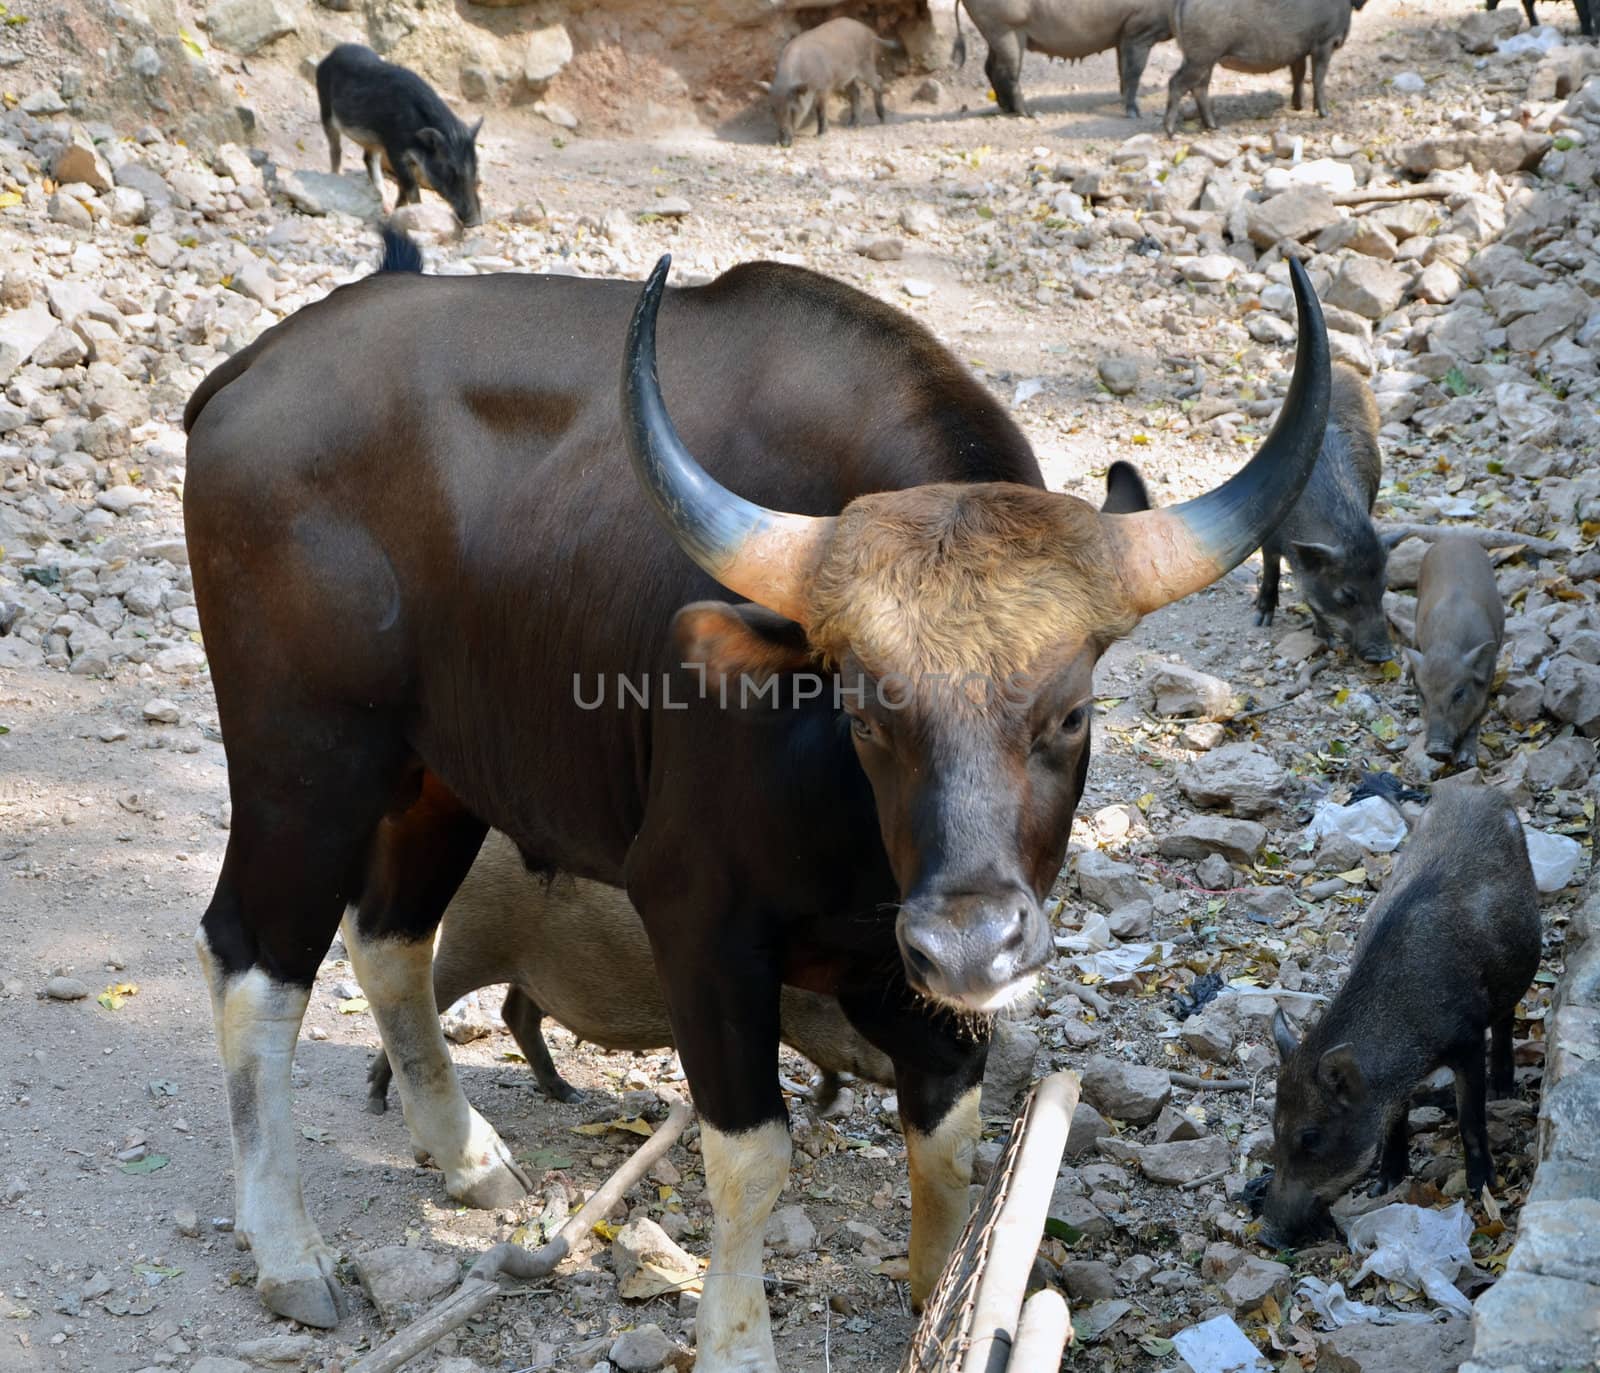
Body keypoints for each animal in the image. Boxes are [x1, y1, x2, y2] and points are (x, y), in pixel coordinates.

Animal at [184, 238, 1324, 1356]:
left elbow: (949, 1138)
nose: (969, 943)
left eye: (1072, 712)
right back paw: (289, 1250)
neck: (858, 841)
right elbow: (750, 1151)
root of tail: (248, 376)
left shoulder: (916, 980)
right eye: (863, 709)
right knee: (253, 958)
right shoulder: (699, 920)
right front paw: (737, 1336)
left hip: (442, 774)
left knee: (389, 938)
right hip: (304, 762)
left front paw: (943, 1296)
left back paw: (467, 1157)